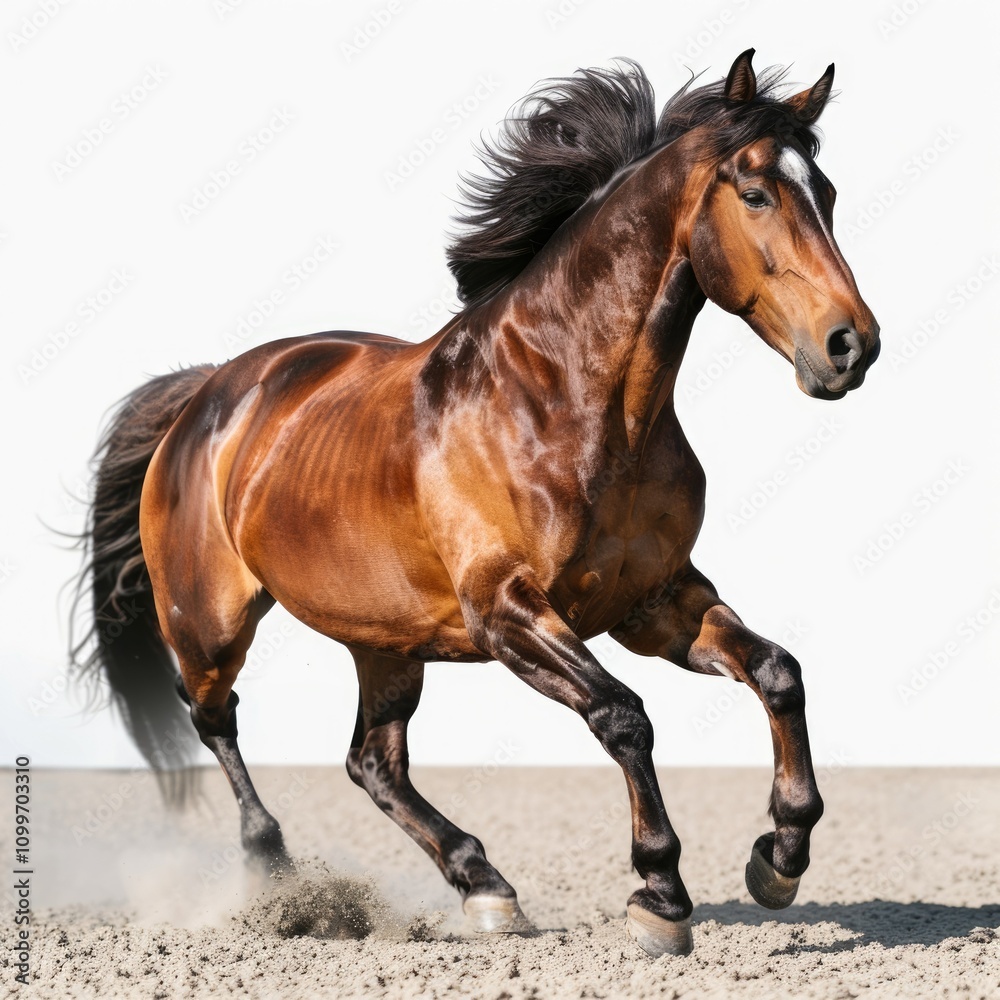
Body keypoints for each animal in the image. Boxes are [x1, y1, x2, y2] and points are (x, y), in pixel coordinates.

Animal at [71, 49, 879, 957]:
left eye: (828, 192)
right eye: (756, 194)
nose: (851, 346)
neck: (573, 404)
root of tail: (206, 396)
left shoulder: (655, 603)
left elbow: (778, 672)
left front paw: (780, 856)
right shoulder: (505, 611)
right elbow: (624, 717)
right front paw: (661, 896)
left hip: (385, 643)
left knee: (372, 762)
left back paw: (485, 886)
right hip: (209, 623)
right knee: (215, 719)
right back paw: (276, 871)